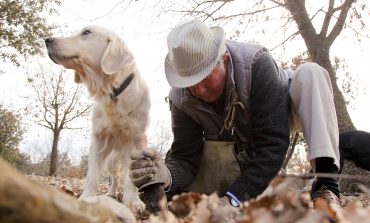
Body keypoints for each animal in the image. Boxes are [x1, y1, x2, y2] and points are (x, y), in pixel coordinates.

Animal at [45, 26, 150, 213]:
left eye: (87, 32)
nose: (47, 40)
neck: (113, 92)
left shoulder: (137, 138)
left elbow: (131, 179)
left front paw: (134, 202)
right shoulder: (99, 138)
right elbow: (92, 174)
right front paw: (86, 199)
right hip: (111, 161)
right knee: (115, 178)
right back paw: (110, 194)